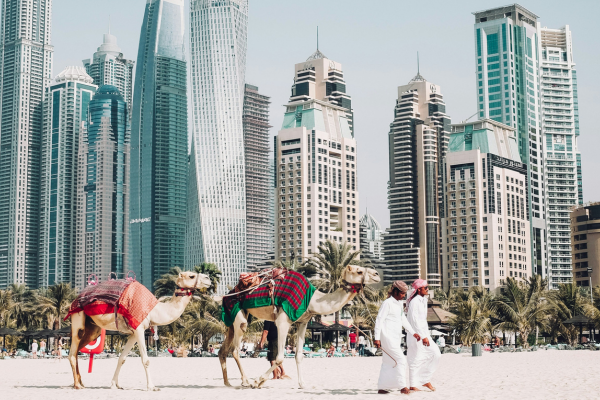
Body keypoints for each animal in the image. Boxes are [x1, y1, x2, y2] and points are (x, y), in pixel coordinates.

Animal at [68, 272, 211, 390]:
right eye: (191, 276)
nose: (208, 279)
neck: (154, 311)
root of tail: (74, 300)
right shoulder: (139, 328)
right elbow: (145, 360)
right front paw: (152, 387)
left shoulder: (133, 333)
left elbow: (122, 358)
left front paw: (115, 385)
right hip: (78, 317)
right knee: (73, 351)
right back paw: (77, 385)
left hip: (93, 328)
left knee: (79, 349)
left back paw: (81, 383)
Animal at [220, 264, 380, 390]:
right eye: (359, 271)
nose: (377, 274)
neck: (311, 301)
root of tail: (227, 294)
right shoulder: (283, 321)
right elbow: (279, 357)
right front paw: (258, 381)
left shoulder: (303, 323)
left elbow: (299, 355)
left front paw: (302, 384)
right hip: (239, 316)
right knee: (235, 350)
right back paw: (246, 381)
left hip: (233, 319)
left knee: (223, 350)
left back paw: (228, 383)